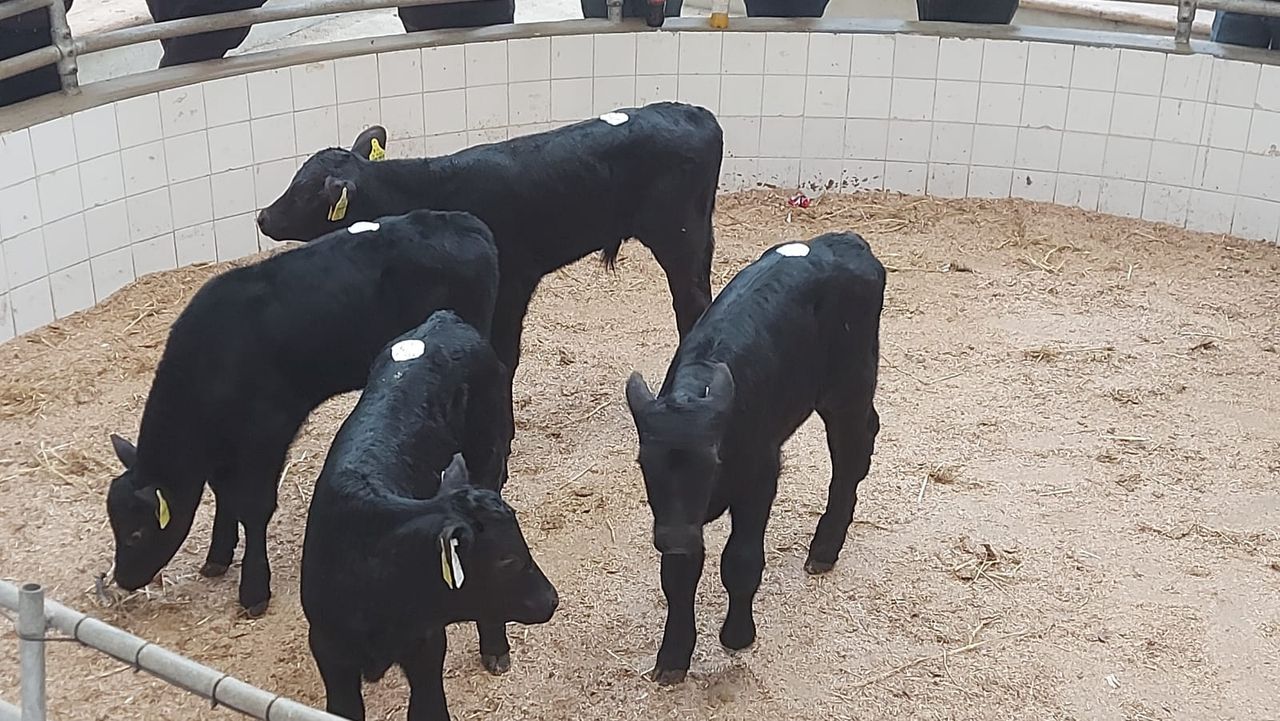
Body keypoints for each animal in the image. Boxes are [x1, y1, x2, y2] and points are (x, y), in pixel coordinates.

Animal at [105, 209, 499, 623]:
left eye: (136, 533)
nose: (124, 579)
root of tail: (462, 221)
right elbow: (224, 495)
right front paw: (218, 555)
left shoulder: (267, 432)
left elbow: (253, 506)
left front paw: (253, 587)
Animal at [257, 101, 723, 503]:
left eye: (304, 192)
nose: (262, 217)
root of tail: (695, 111)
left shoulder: (513, 283)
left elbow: (504, 357)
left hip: (678, 235)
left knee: (691, 304)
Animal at [302, 312, 558, 721]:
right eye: (507, 560)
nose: (551, 600)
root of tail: (443, 320)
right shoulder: (329, 650)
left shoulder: (426, 640)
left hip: (488, 453)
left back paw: (495, 648)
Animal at [624, 231, 885, 685]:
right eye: (645, 465)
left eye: (711, 462)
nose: (672, 538)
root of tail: (845, 241)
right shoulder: (678, 518)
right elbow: (678, 576)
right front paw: (673, 656)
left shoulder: (761, 476)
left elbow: (740, 560)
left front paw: (737, 635)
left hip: (849, 385)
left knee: (851, 452)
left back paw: (824, 547)